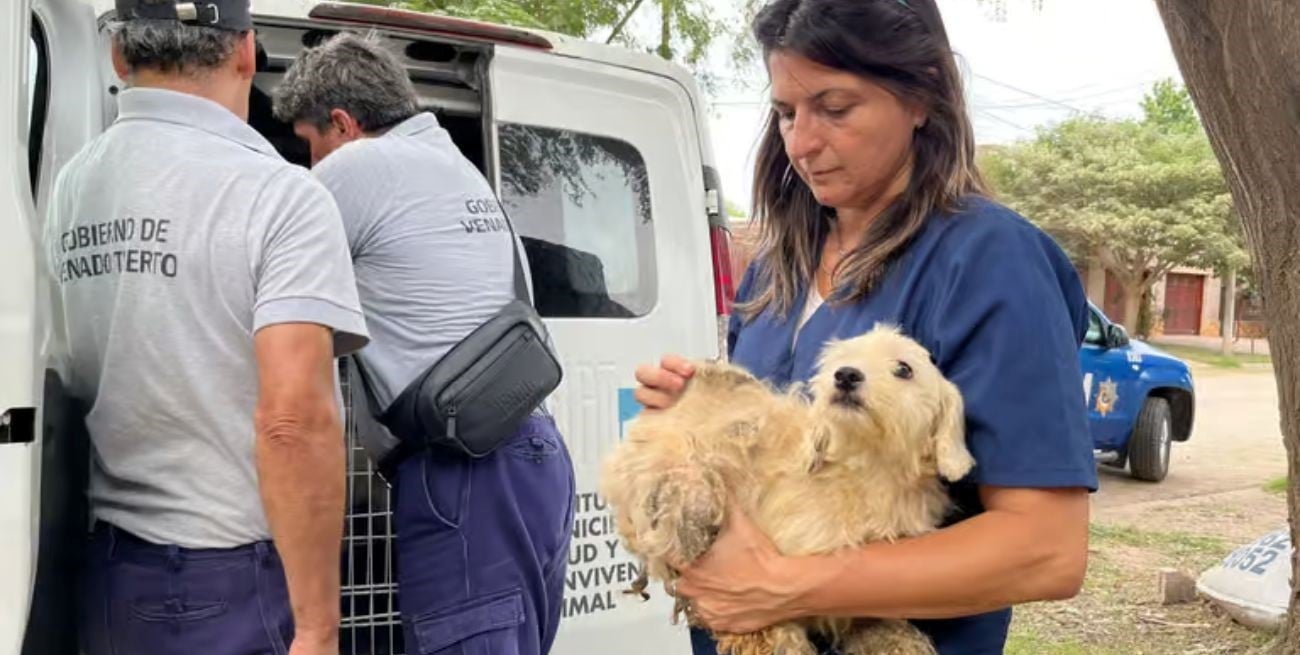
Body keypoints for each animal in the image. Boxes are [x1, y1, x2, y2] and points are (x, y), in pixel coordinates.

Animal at [599, 325, 975, 655]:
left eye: (904, 368)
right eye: (841, 360)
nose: (846, 375)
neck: (865, 473)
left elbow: (871, 617)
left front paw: (897, 640)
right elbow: (769, 627)